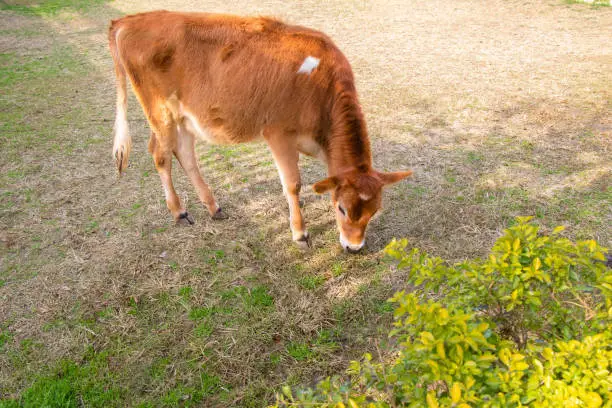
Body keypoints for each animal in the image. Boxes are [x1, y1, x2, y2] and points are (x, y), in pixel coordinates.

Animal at [109, 10, 412, 252]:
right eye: (341, 208)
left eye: (375, 210)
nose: (354, 247)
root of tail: (131, 19)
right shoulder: (278, 133)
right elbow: (292, 184)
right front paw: (300, 233)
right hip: (160, 111)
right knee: (161, 155)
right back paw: (179, 211)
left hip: (184, 116)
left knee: (185, 154)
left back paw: (213, 207)